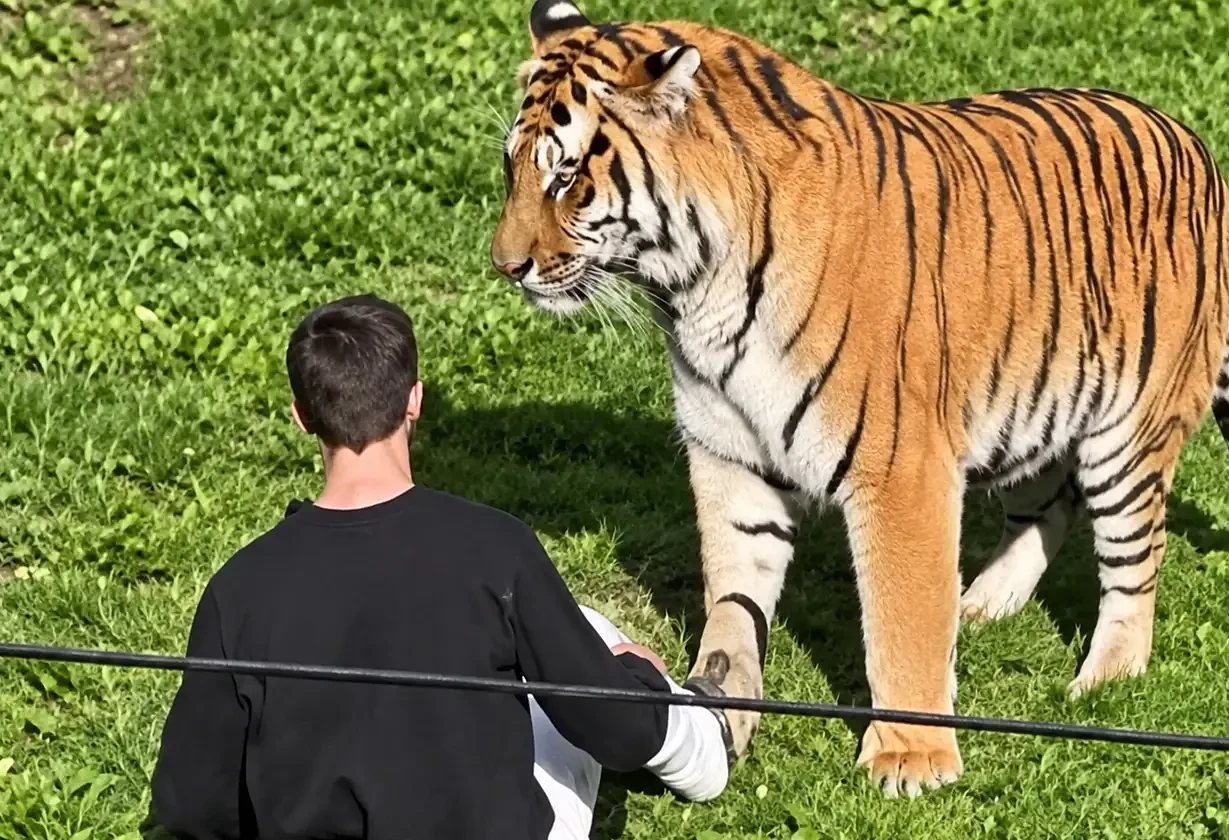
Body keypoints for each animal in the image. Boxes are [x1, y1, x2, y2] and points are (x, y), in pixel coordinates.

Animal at [490, 0, 1229, 798]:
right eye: (511, 168)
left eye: (566, 177)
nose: (506, 266)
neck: (695, 291)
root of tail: (1190, 140)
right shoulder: (728, 454)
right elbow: (733, 596)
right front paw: (723, 705)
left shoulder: (902, 467)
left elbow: (902, 620)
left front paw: (912, 759)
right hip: (1029, 403)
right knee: (1051, 504)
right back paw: (983, 602)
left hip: (1127, 435)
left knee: (1135, 560)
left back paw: (1104, 678)